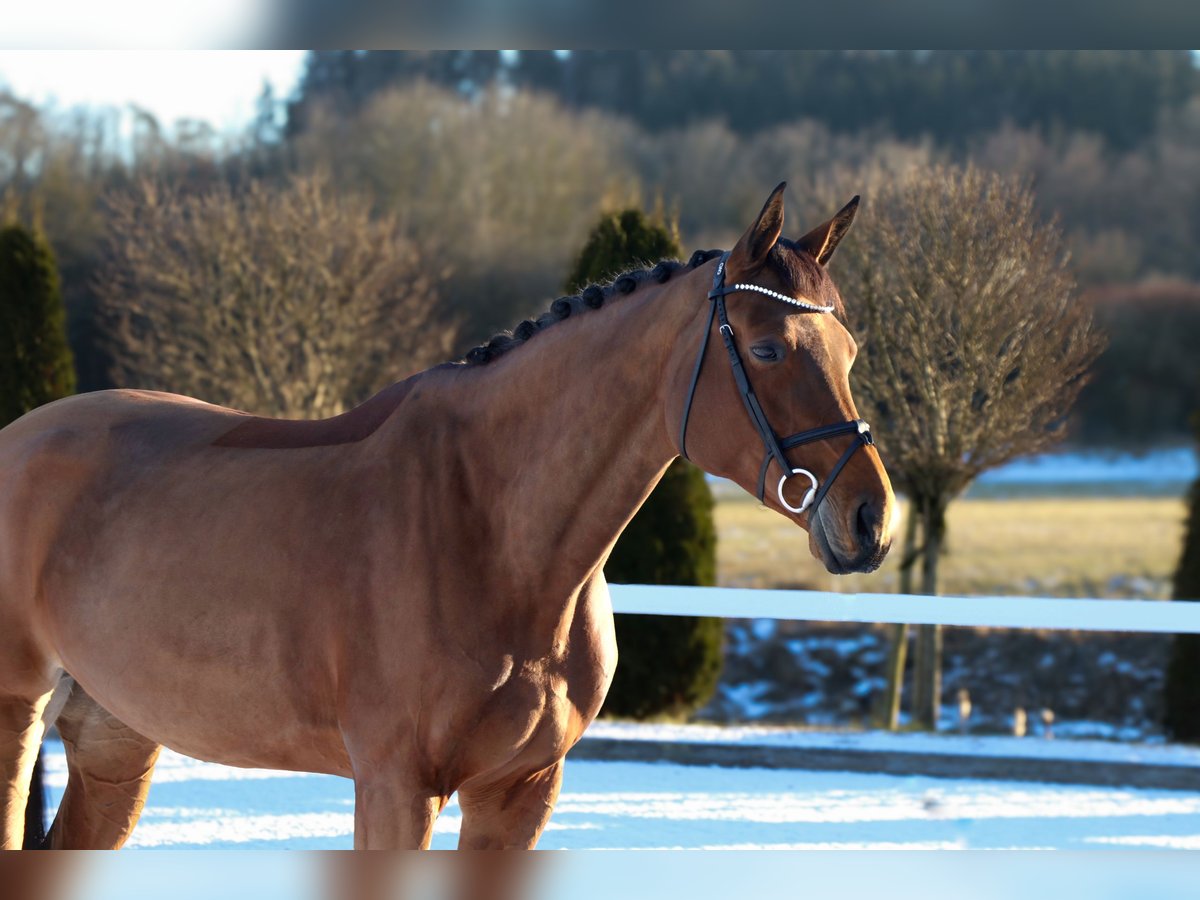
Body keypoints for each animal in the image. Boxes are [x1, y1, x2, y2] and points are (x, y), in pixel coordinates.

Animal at [2, 184, 892, 854]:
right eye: (768, 348)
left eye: (850, 356)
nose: (869, 520)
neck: (492, 530)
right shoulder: (396, 788)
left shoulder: (519, 793)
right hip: (19, 718)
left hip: (116, 740)